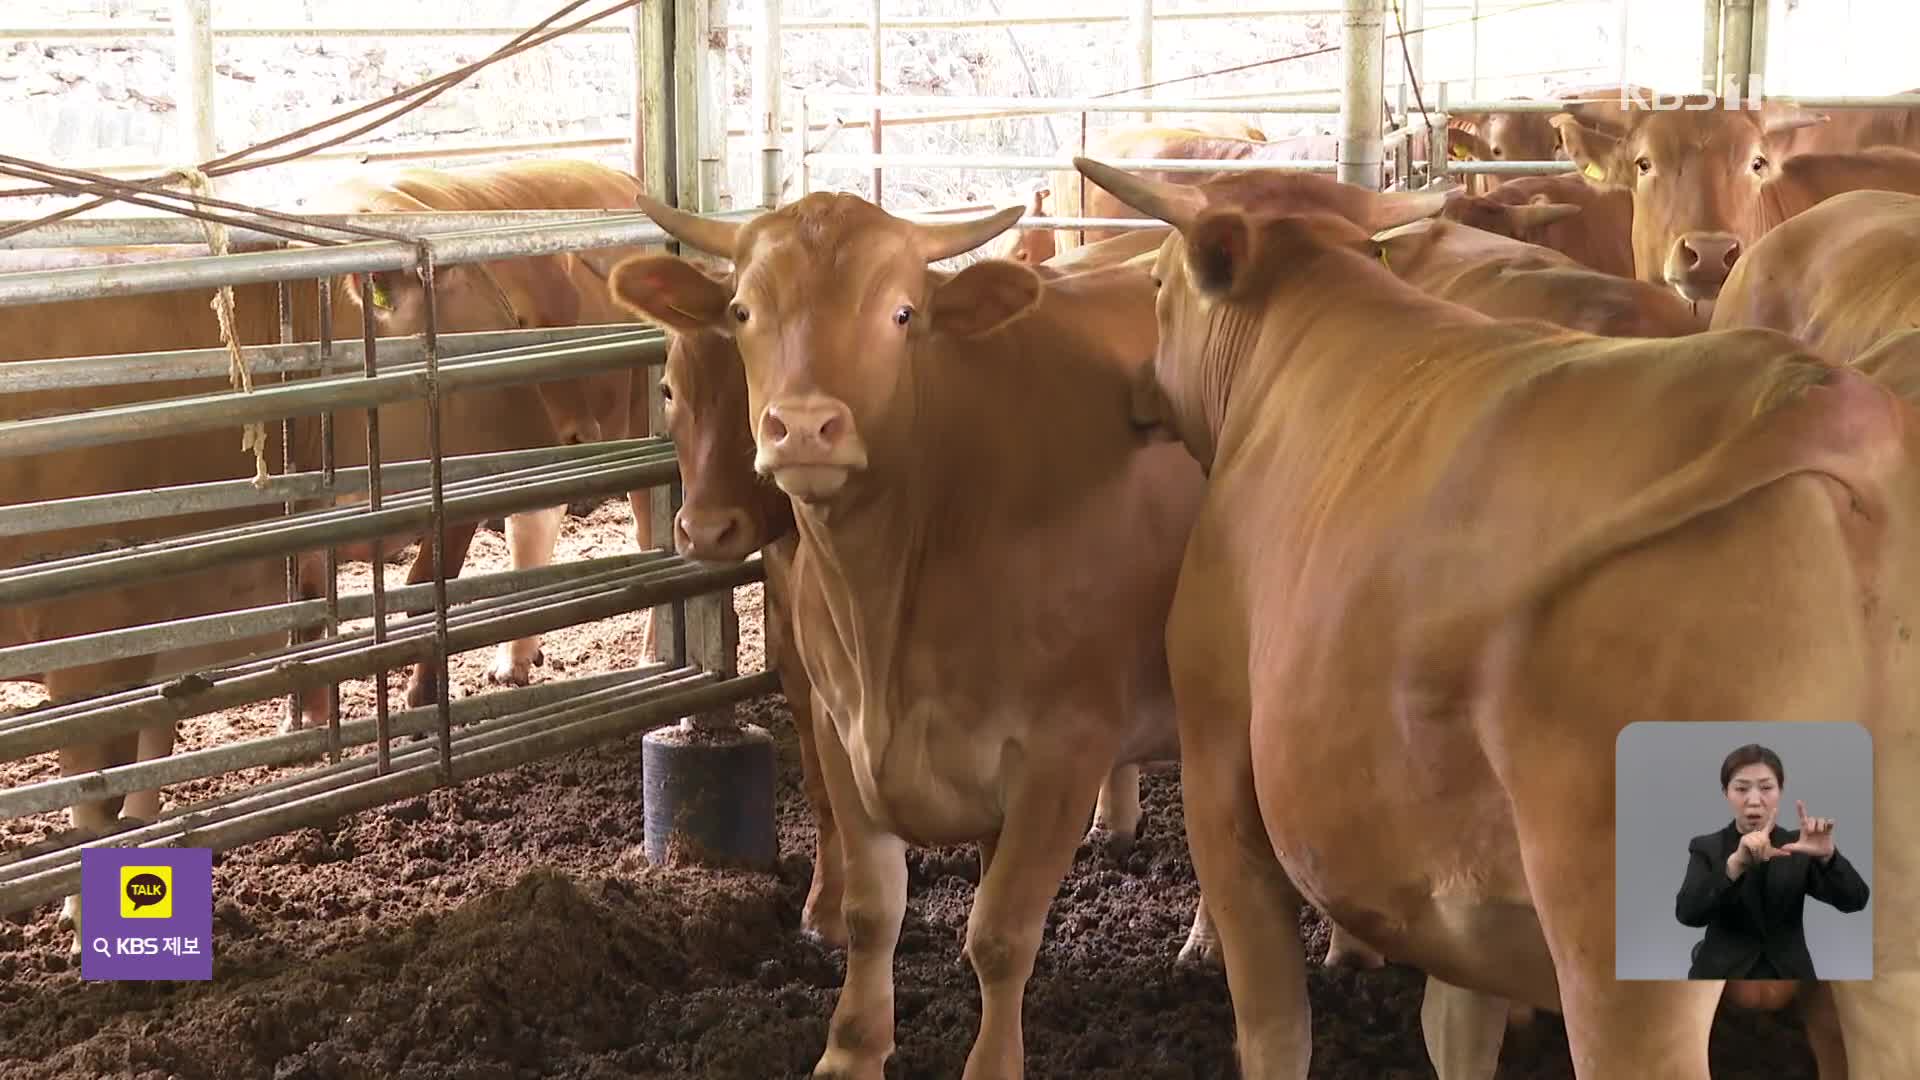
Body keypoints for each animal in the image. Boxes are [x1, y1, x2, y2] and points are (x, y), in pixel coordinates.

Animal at [610, 195, 1213, 1076]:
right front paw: (850, 1048)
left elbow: (1000, 934)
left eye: (901, 314)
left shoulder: (1063, 751)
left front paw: (992, 1063)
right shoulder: (835, 720)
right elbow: (873, 911)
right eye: (744, 310)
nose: (804, 428)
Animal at [1075, 155, 1912, 1068]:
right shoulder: (1460, 884)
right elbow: (1458, 1027)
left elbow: (1272, 1026)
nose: (1137, 390)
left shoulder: (1221, 769)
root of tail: (1826, 398)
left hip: (1621, 953)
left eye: (1158, 283)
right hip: (1889, 946)